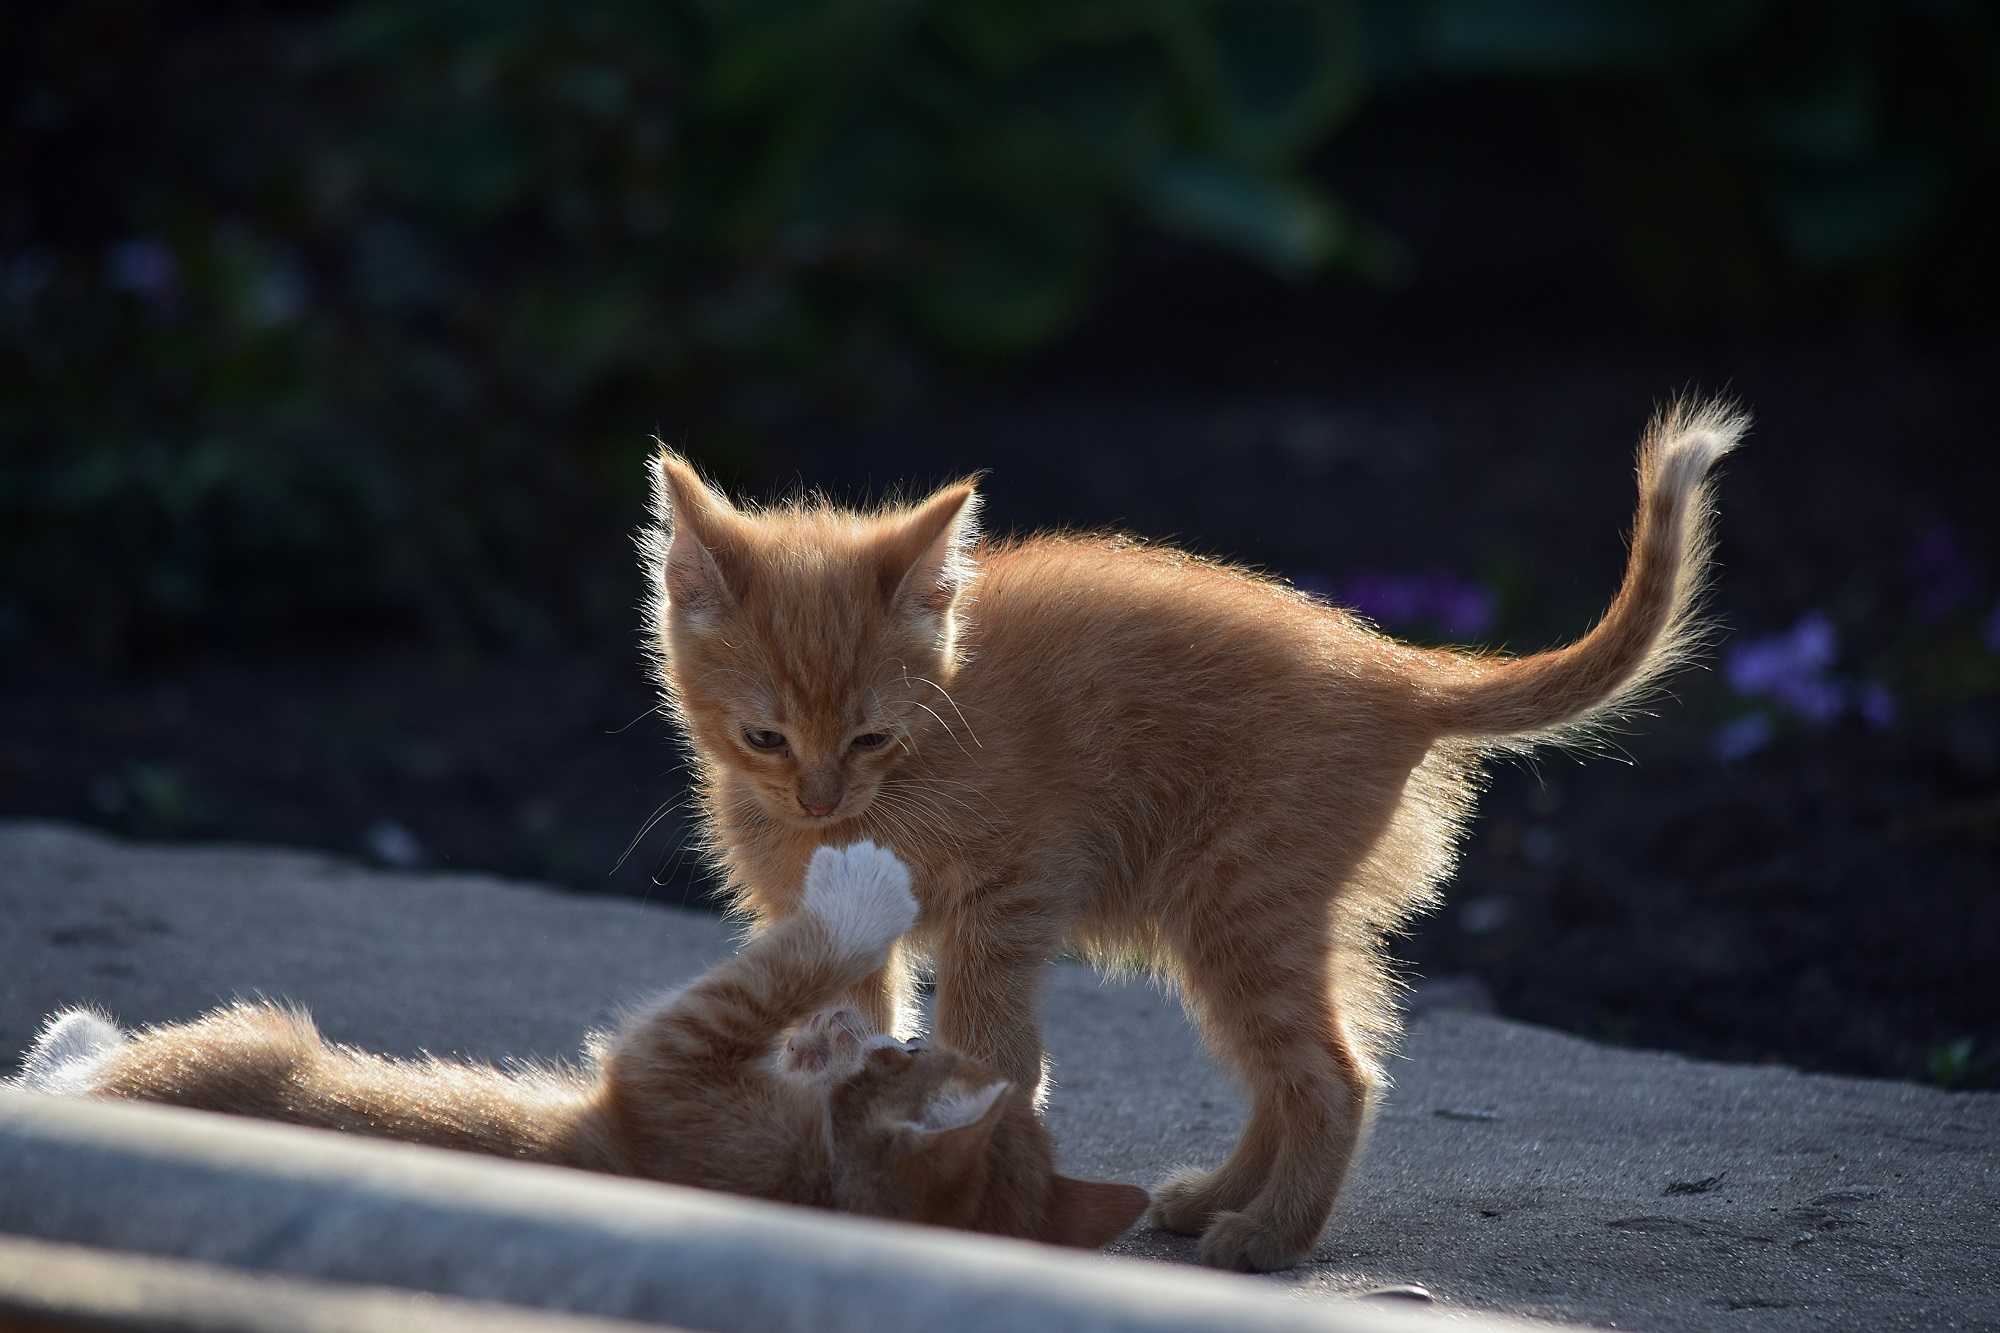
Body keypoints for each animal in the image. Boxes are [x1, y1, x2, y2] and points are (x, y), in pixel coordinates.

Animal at [15, 840, 1152, 1248]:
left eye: (912, 1063)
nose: (872, 1031)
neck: (815, 1189)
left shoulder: (670, 1063)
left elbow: (781, 965)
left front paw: (864, 890)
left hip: (244, 1035)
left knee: (71, 1070)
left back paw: (65, 1040)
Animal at [648, 394, 1744, 1264]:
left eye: (871, 735)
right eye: (765, 738)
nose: (818, 800)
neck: (921, 752)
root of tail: (1393, 667)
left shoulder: (1009, 894)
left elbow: (991, 1047)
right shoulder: (839, 919)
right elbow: (859, 1030)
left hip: (1236, 901)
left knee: (1333, 1075)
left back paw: (1269, 1235)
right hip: (1235, 915)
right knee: (1290, 1070)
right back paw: (1217, 1198)